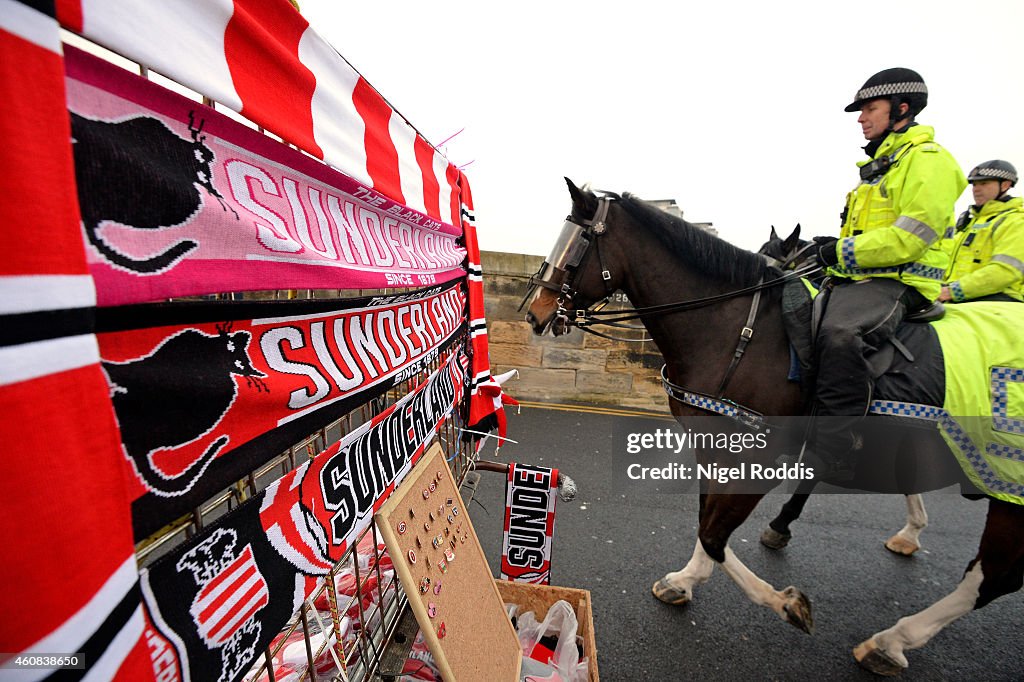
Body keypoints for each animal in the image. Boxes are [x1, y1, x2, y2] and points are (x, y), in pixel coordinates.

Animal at [524, 178, 1024, 671]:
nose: (535, 312)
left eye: (578, 244)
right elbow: (707, 524)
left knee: (994, 578)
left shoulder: (760, 457)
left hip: (1007, 484)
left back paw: (892, 640)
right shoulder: (716, 447)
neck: (740, 336)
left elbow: (715, 532)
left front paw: (786, 603)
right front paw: (686, 579)